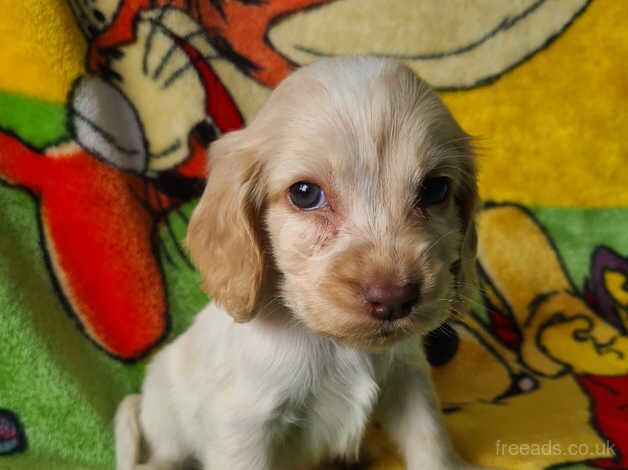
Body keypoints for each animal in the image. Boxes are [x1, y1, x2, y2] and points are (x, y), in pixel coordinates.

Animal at [115, 56, 484, 470]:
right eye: (305, 194)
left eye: (435, 189)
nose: (393, 299)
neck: (336, 346)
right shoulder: (244, 428)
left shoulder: (408, 379)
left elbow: (430, 440)